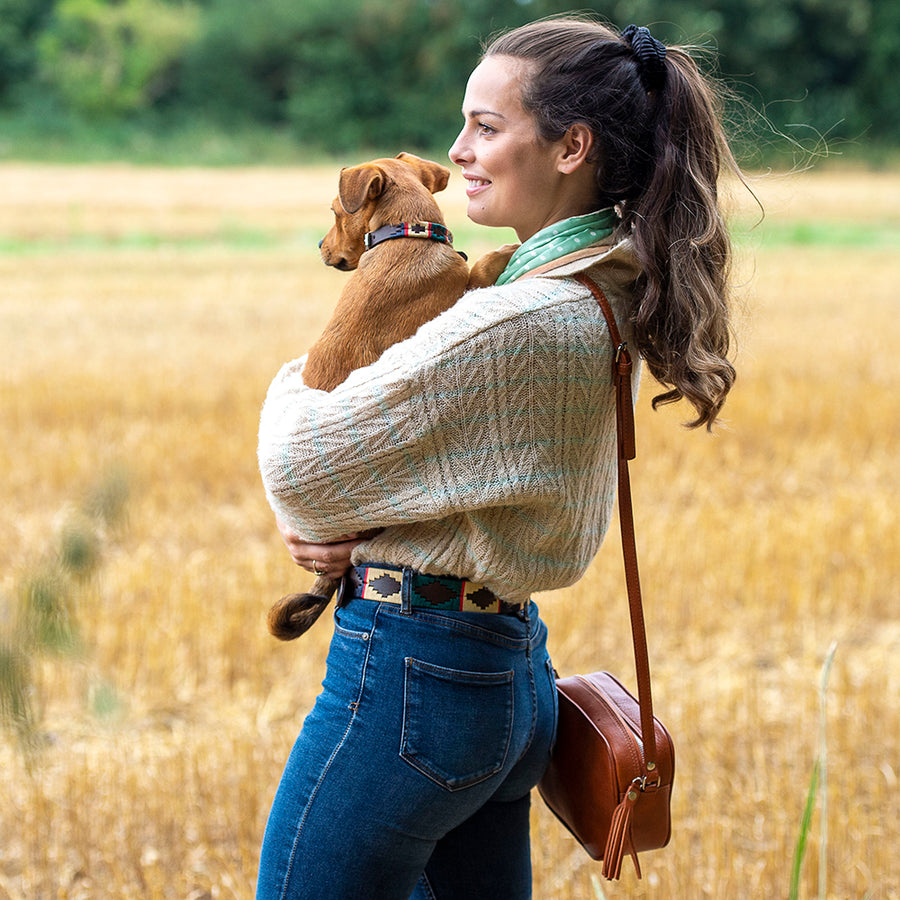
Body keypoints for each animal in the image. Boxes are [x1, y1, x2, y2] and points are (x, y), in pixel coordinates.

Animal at [266, 151, 512, 640]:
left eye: (334, 212)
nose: (320, 248)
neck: (408, 235)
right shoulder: (460, 292)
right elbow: (479, 273)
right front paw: (501, 253)